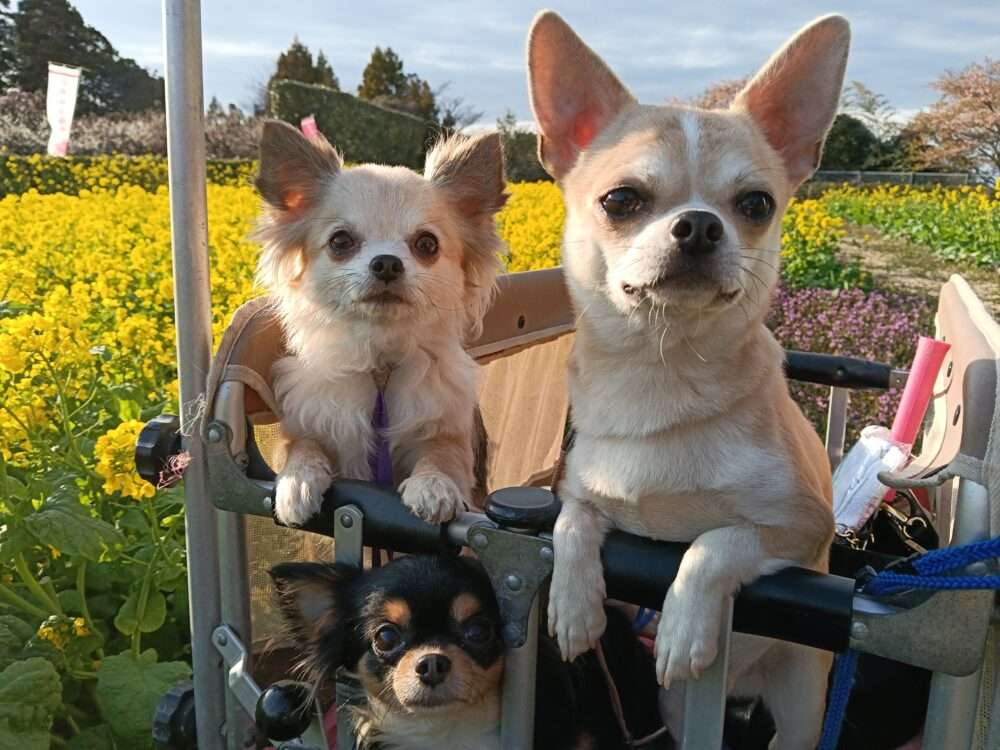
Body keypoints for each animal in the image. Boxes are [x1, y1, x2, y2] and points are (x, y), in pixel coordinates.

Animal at [253, 121, 505, 527]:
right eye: (340, 241)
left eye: (427, 244)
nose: (386, 262)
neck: (380, 366)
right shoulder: (307, 424)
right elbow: (301, 447)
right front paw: (296, 483)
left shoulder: (449, 435)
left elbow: (441, 457)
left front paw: (433, 487)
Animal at [527, 11, 848, 749]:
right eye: (621, 200)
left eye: (757, 204)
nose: (700, 224)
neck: (660, 368)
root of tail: (740, 690)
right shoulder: (579, 489)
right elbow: (573, 520)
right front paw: (573, 603)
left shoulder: (801, 528)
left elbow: (715, 542)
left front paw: (681, 623)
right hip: (679, 708)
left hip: (802, 698)